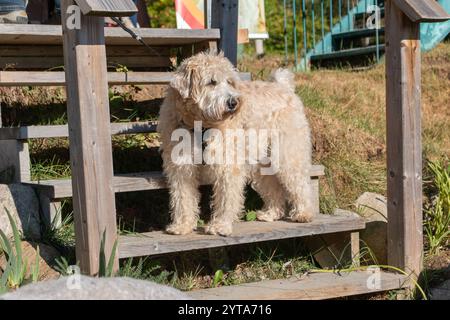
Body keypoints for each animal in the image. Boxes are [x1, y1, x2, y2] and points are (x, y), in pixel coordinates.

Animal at [158, 52, 312, 236]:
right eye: (212, 82)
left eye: (229, 81)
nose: (233, 102)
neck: (200, 124)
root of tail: (284, 87)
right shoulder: (181, 168)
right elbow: (183, 199)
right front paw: (182, 225)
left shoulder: (227, 167)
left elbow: (225, 199)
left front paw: (220, 225)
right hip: (261, 163)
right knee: (274, 188)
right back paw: (271, 213)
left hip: (287, 155)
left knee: (301, 184)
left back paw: (303, 213)